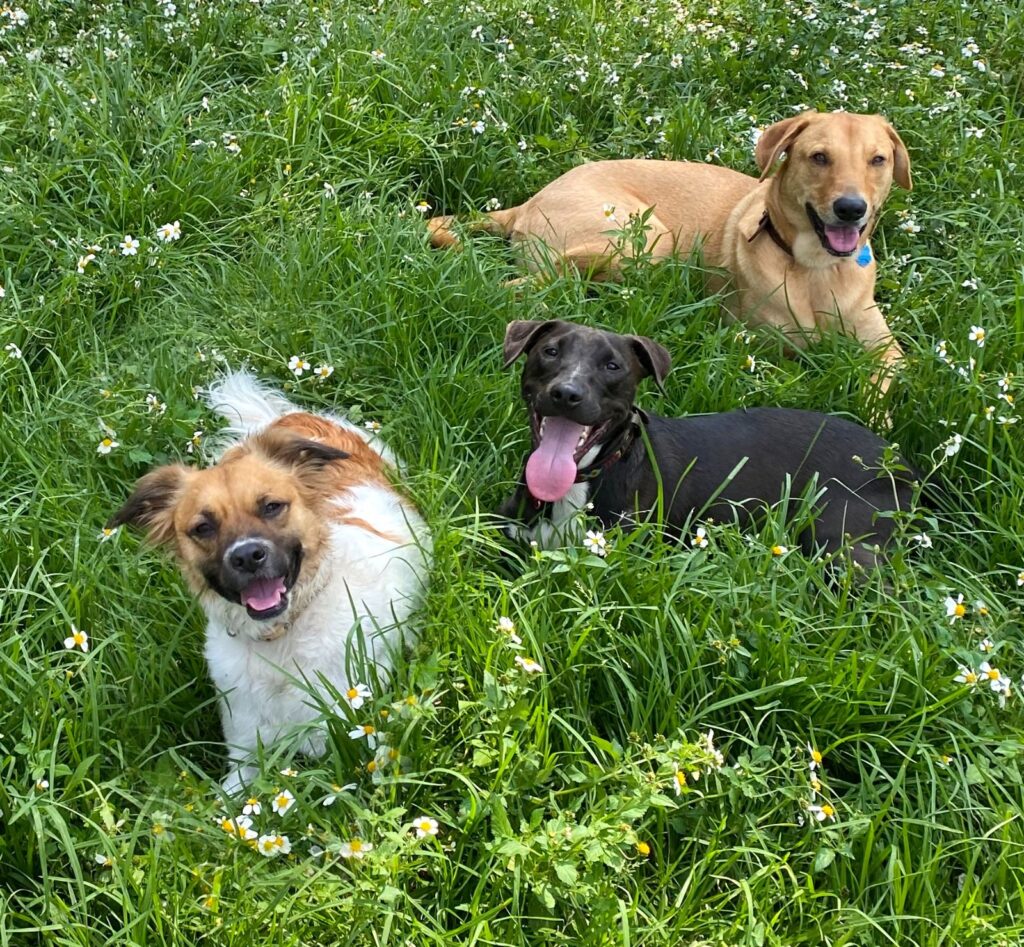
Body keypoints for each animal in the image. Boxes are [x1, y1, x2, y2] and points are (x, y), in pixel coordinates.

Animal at [108, 372, 431, 794]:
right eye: (203, 527)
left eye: (272, 506)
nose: (247, 556)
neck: (281, 638)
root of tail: (290, 418)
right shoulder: (246, 748)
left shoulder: (352, 731)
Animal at [429, 111, 911, 392]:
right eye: (819, 157)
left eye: (878, 160)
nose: (851, 208)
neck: (816, 271)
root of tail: (531, 200)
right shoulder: (762, 345)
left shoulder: (887, 352)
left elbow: (880, 392)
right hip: (647, 241)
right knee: (517, 284)